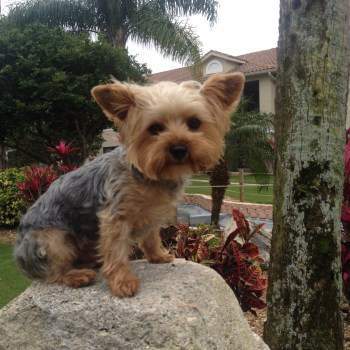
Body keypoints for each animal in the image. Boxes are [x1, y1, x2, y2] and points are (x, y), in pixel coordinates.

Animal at [15, 72, 245, 296]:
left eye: (194, 123)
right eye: (155, 128)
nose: (179, 148)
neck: (150, 174)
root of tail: (19, 254)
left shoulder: (152, 213)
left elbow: (151, 236)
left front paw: (158, 255)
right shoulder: (115, 215)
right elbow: (116, 250)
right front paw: (123, 282)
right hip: (52, 240)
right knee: (52, 272)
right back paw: (75, 275)